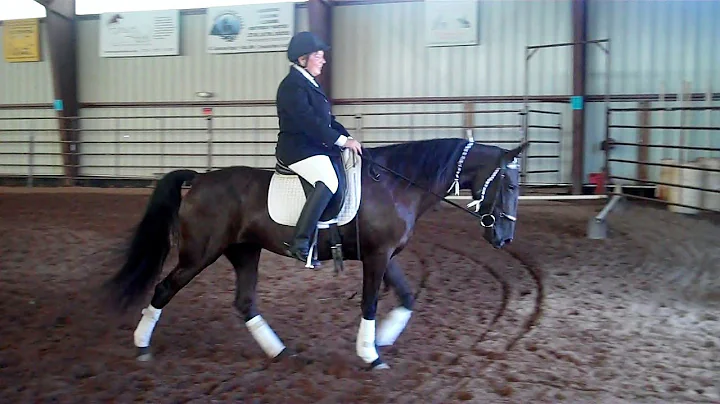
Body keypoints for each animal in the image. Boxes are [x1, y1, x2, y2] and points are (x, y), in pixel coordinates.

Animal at [104, 137, 524, 370]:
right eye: (510, 184)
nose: (504, 238)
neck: (395, 185)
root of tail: (201, 179)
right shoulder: (376, 257)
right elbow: (370, 303)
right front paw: (370, 354)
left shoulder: (384, 255)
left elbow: (406, 296)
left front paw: (384, 338)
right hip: (199, 254)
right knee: (163, 289)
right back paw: (142, 346)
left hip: (244, 252)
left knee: (244, 303)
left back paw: (280, 353)